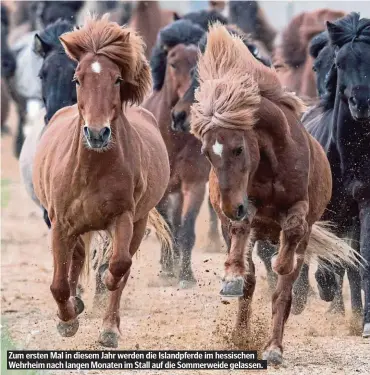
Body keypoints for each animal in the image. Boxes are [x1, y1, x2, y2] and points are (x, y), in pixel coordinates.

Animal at [31, 14, 171, 350]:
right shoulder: (60, 223)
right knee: (77, 260)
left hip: (138, 222)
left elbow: (118, 266)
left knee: (120, 267)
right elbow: (59, 283)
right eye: (77, 79)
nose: (97, 134)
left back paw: (109, 327)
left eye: (117, 79)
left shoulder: (124, 217)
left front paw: (105, 290)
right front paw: (67, 320)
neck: (92, 167)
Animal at [192, 22, 360, 364]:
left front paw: (283, 266)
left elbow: (288, 257)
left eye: (238, 148)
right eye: (206, 153)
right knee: (250, 276)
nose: (231, 207)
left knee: (282, 281)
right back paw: (241, 321)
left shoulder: (299, 210)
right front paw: (232, 277)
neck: (271, 159)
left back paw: (273, 344)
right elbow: (243, 239)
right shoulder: (247, 206)